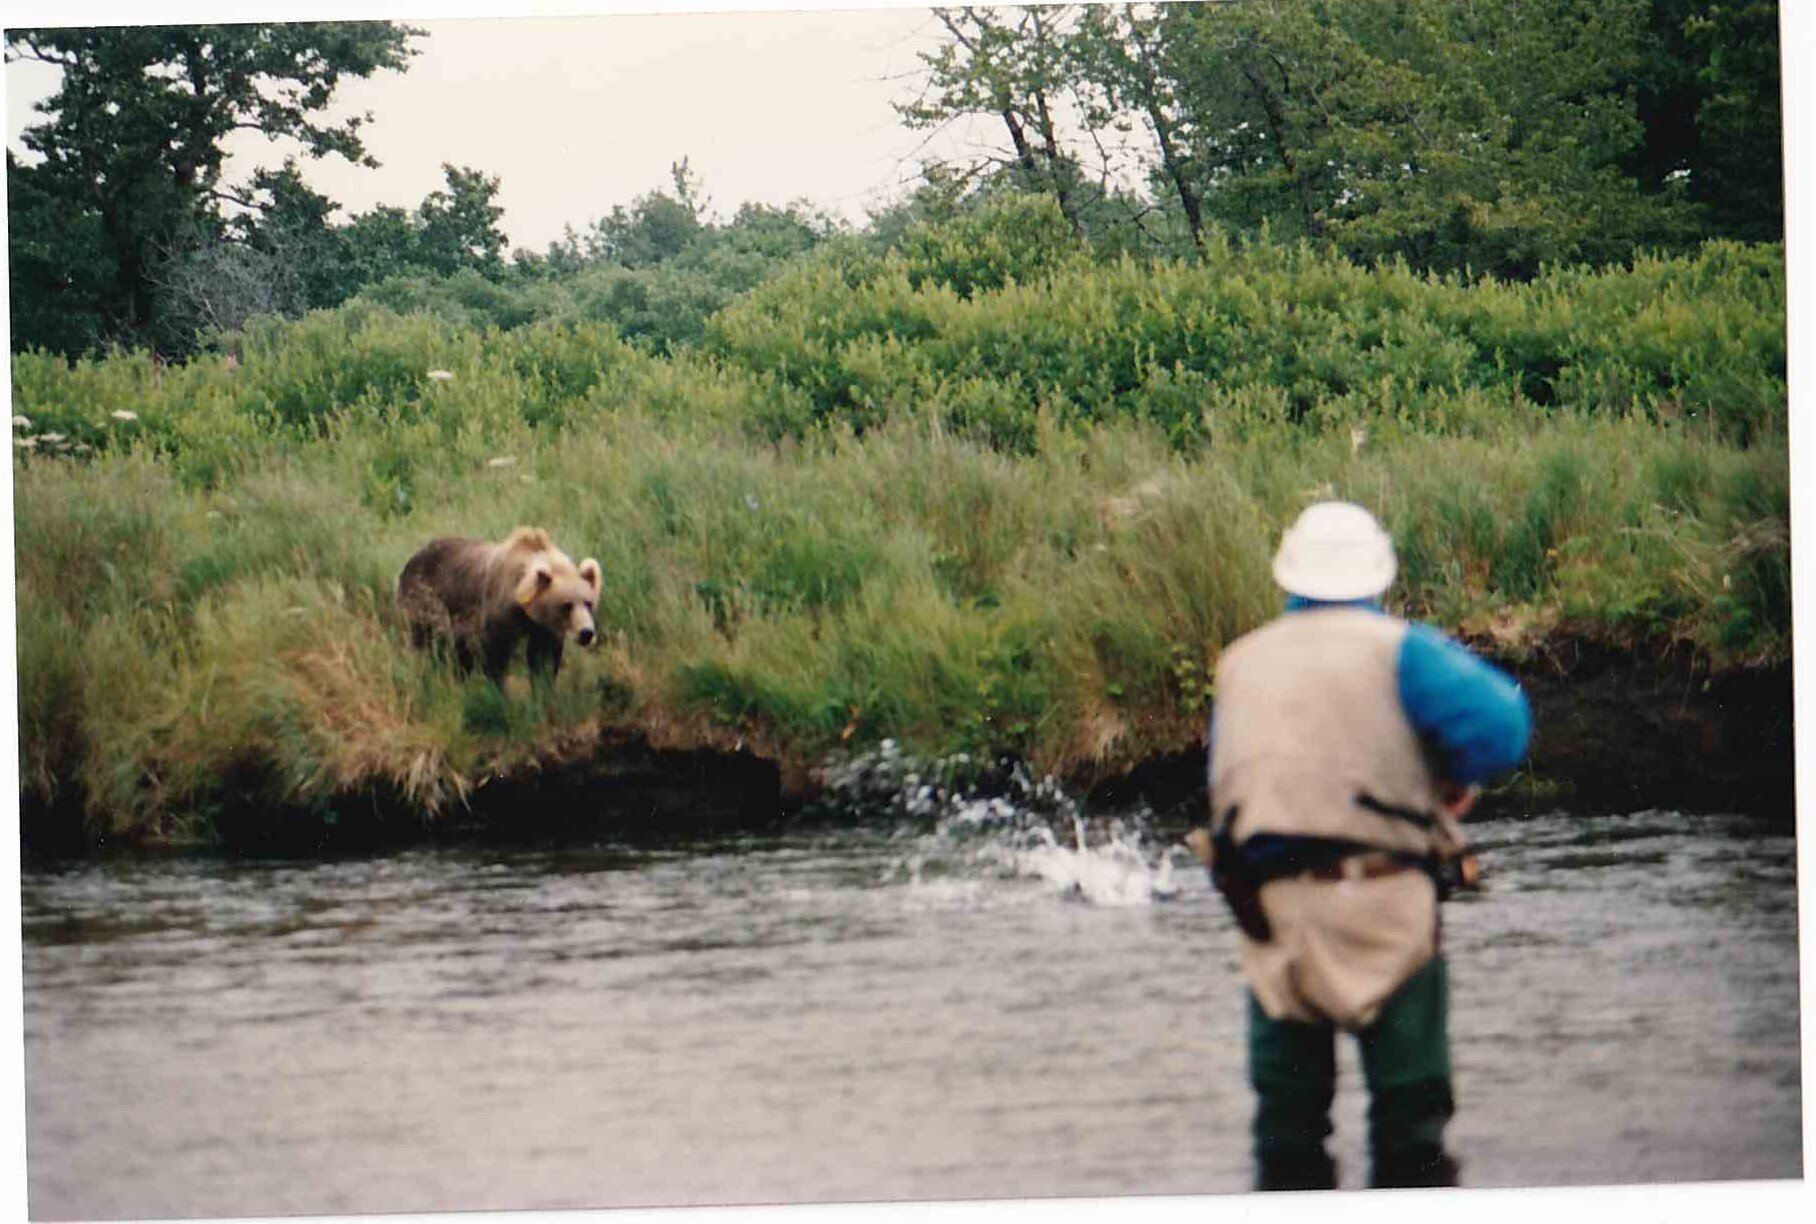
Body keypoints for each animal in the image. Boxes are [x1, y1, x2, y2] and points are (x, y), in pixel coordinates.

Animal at [397, 523, 602, 682]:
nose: (586, 633)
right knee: (432, 643)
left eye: (588, 603)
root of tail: (411, 557)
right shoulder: (499, 609)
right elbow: (496, 651)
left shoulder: (542, 627)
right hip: (427, 599)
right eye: (566, 605)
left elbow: (544, 658)